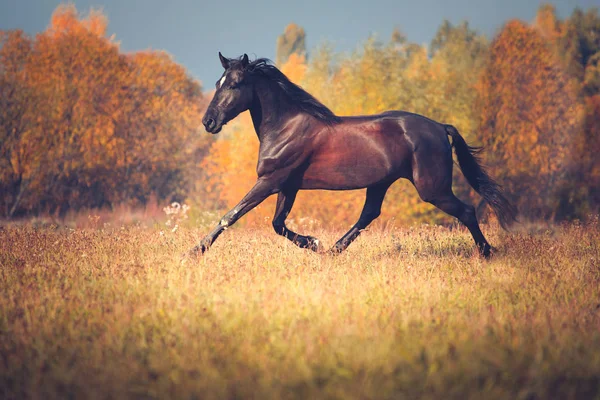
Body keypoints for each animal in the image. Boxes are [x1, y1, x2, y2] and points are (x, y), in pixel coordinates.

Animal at [191, 53, 516, 258]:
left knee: (467, 211)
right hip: (381, 183)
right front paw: (314, 243)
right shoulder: (288, 185)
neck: (286, 126)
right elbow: (277, 223)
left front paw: (195, 250)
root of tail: (439, 127)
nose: (208, 122)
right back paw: (333, 250)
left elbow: (231, 215)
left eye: (234, 84)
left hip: (432, 189)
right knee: (368, 214)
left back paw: (487, 253)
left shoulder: (270, 180)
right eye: (218, 83)